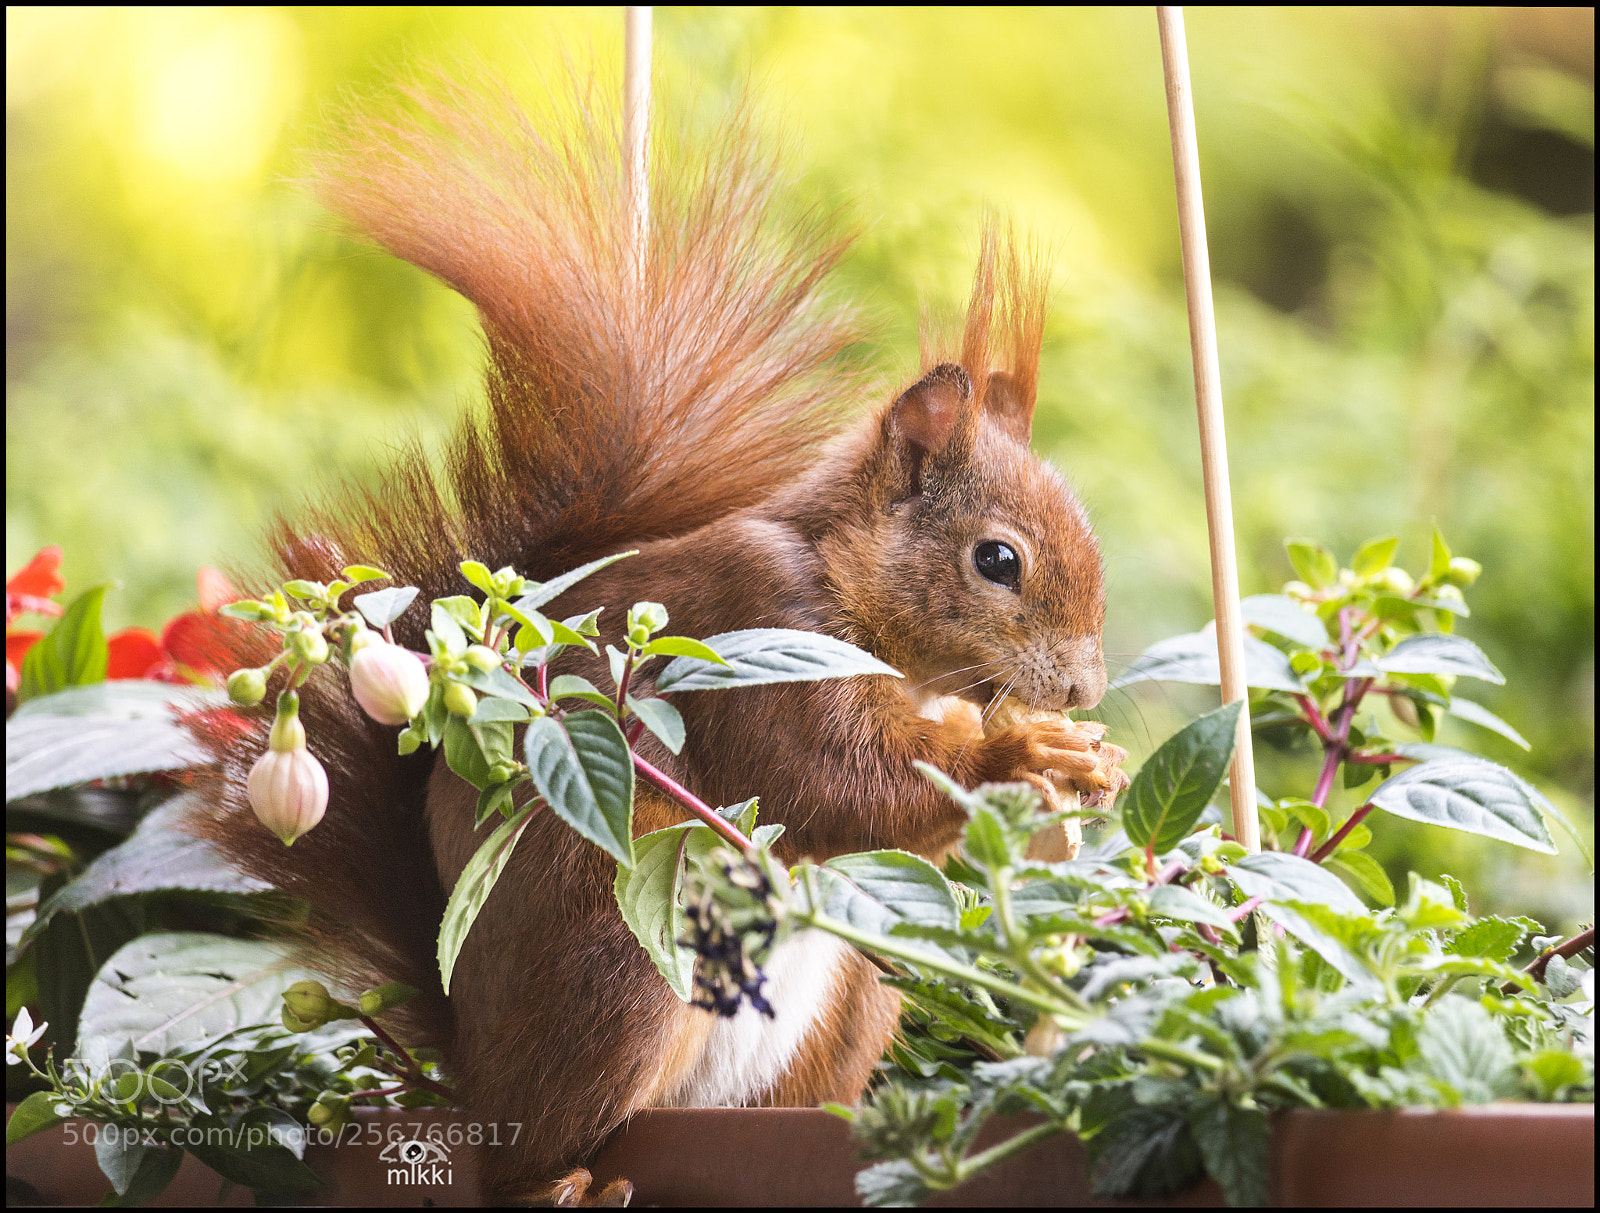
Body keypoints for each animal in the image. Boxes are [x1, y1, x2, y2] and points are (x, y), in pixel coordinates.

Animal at [192, 76, 1127, 1204]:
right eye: (997, 560)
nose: (1084, 689)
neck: (846, 585)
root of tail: (474, 1060)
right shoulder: (759, 634)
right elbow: (840, 784)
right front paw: (1026, 750)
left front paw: (1097, 763)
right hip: (619, 963)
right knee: (528, 1152)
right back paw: (567, 1181)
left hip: (850, 991)